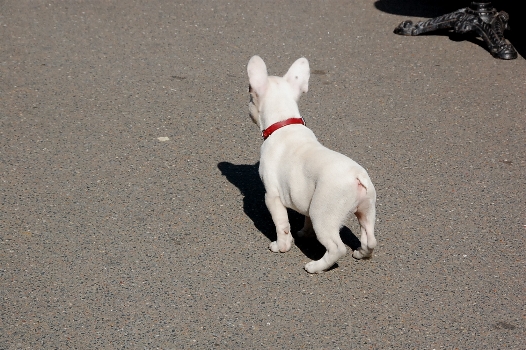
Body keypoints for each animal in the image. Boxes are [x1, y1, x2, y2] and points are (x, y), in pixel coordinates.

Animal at [249, 55, 380, 274]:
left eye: (249, 97)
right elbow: (306, 218)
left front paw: (281, 247)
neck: (285, 123)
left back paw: (316, 266)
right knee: (370, 238)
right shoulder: (308, 198)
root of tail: (357, 176)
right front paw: (304, 233)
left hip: (324, 214)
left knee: (337, 248)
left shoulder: (272, 196)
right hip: (366, 208)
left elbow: (282, 225)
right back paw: (361, 253)